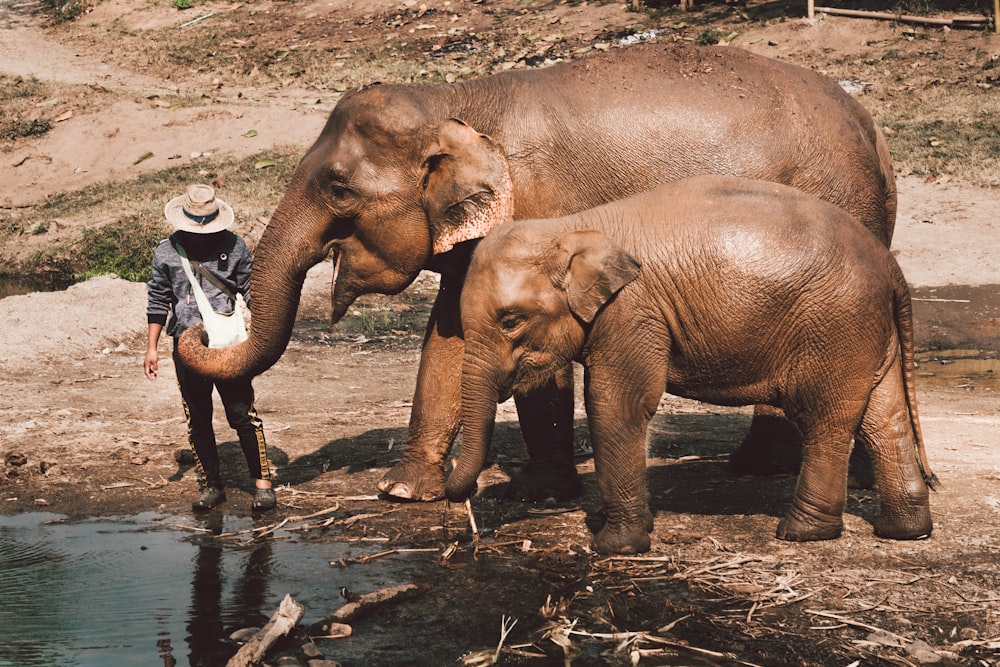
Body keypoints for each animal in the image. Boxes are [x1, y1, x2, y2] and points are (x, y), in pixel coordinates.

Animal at [176, 43, 896, 500]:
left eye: (338, 188)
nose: (193, 328)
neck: (457, 101)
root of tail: (873, 127)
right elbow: (449, 336)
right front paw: (404, 492)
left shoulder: (545, 207)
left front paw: (541, 493)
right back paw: (775, 469)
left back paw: (772, 469)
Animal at [448, 175, 936, 556]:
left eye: (511, 320)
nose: (467, 504)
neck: (572, 228)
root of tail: (891, 266)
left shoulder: (632, 311)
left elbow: (618, 404)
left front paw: (615, 547)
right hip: (864, 329)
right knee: (883, 415)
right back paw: (905, 531)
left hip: (835, 324)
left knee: (825, 419)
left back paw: (801, 533)